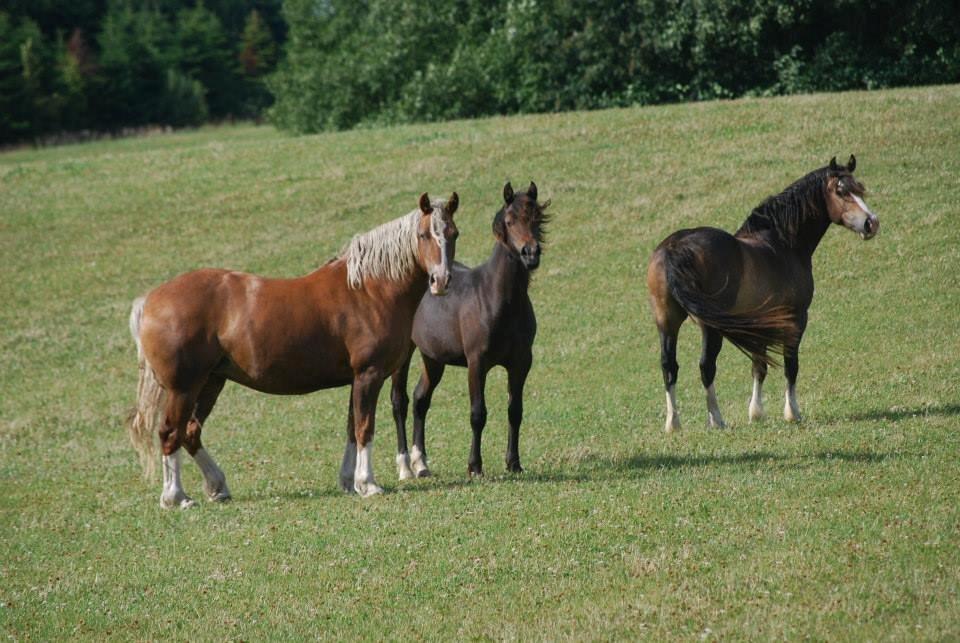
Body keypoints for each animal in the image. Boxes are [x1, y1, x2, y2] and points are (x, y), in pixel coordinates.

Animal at [126, 192, 462, 508]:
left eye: (454, 233)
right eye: (424, 235)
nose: (441, 281)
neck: (369, 289)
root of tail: (151, 300)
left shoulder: (357, 378)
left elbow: (351, 428)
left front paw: (349, 481)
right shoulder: (369, 374)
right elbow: (365, 428)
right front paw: (368, 484)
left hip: (211, 382)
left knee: (190, 431)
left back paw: (217, 486)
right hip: (183, 388)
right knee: (170, 432)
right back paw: (176, 497)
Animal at [390, 181, 552, 478]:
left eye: (536, 218)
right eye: (509, 221)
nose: (531, 253)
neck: (498, 299)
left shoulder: (521, 362)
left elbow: (515, 411)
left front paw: (514, 463)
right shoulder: (477, 362)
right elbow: (478, 414)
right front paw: (474, 466)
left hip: (433, 359)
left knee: (420, 399)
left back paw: (421, 464)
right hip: (404, 354)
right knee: (400, 402)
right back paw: (405, 466)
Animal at [648, 155, 880, 432]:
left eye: (859, 188)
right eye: (841, 191)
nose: (871, 223)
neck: (782, 243)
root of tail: (674, 247)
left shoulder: (759, 322)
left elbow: (759, 366)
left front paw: (756, 412)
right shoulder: (796, 318)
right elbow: (790, 365)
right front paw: (792, 412)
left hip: (667, 321)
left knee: (669, 366)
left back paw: (674, 423)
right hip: (709, 326)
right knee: (706, 366)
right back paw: (716, 419)